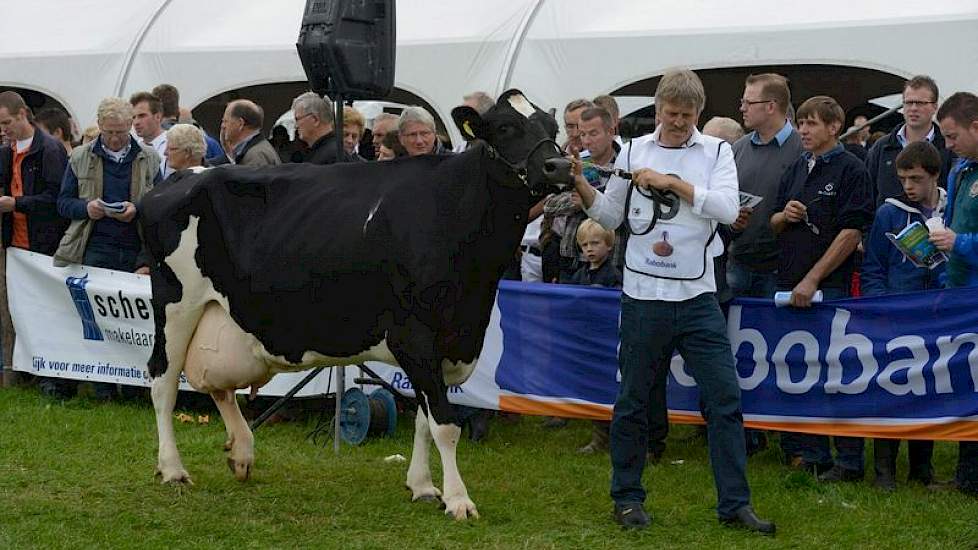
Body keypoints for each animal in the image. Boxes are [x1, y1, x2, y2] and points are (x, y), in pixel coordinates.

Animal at [140, 90, 560, 520]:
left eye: (554, 128)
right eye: (506, 128)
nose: (558, 164)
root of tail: (181, 176)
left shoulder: (450, 339)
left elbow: (424, 420)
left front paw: (423, 486)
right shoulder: (415, 334)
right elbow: (444, 424)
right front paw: (458, 499)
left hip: (223, 317)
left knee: (219, 385)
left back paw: (241, 453)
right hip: (176, 303)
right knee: (162, 379)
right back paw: (173, 469)